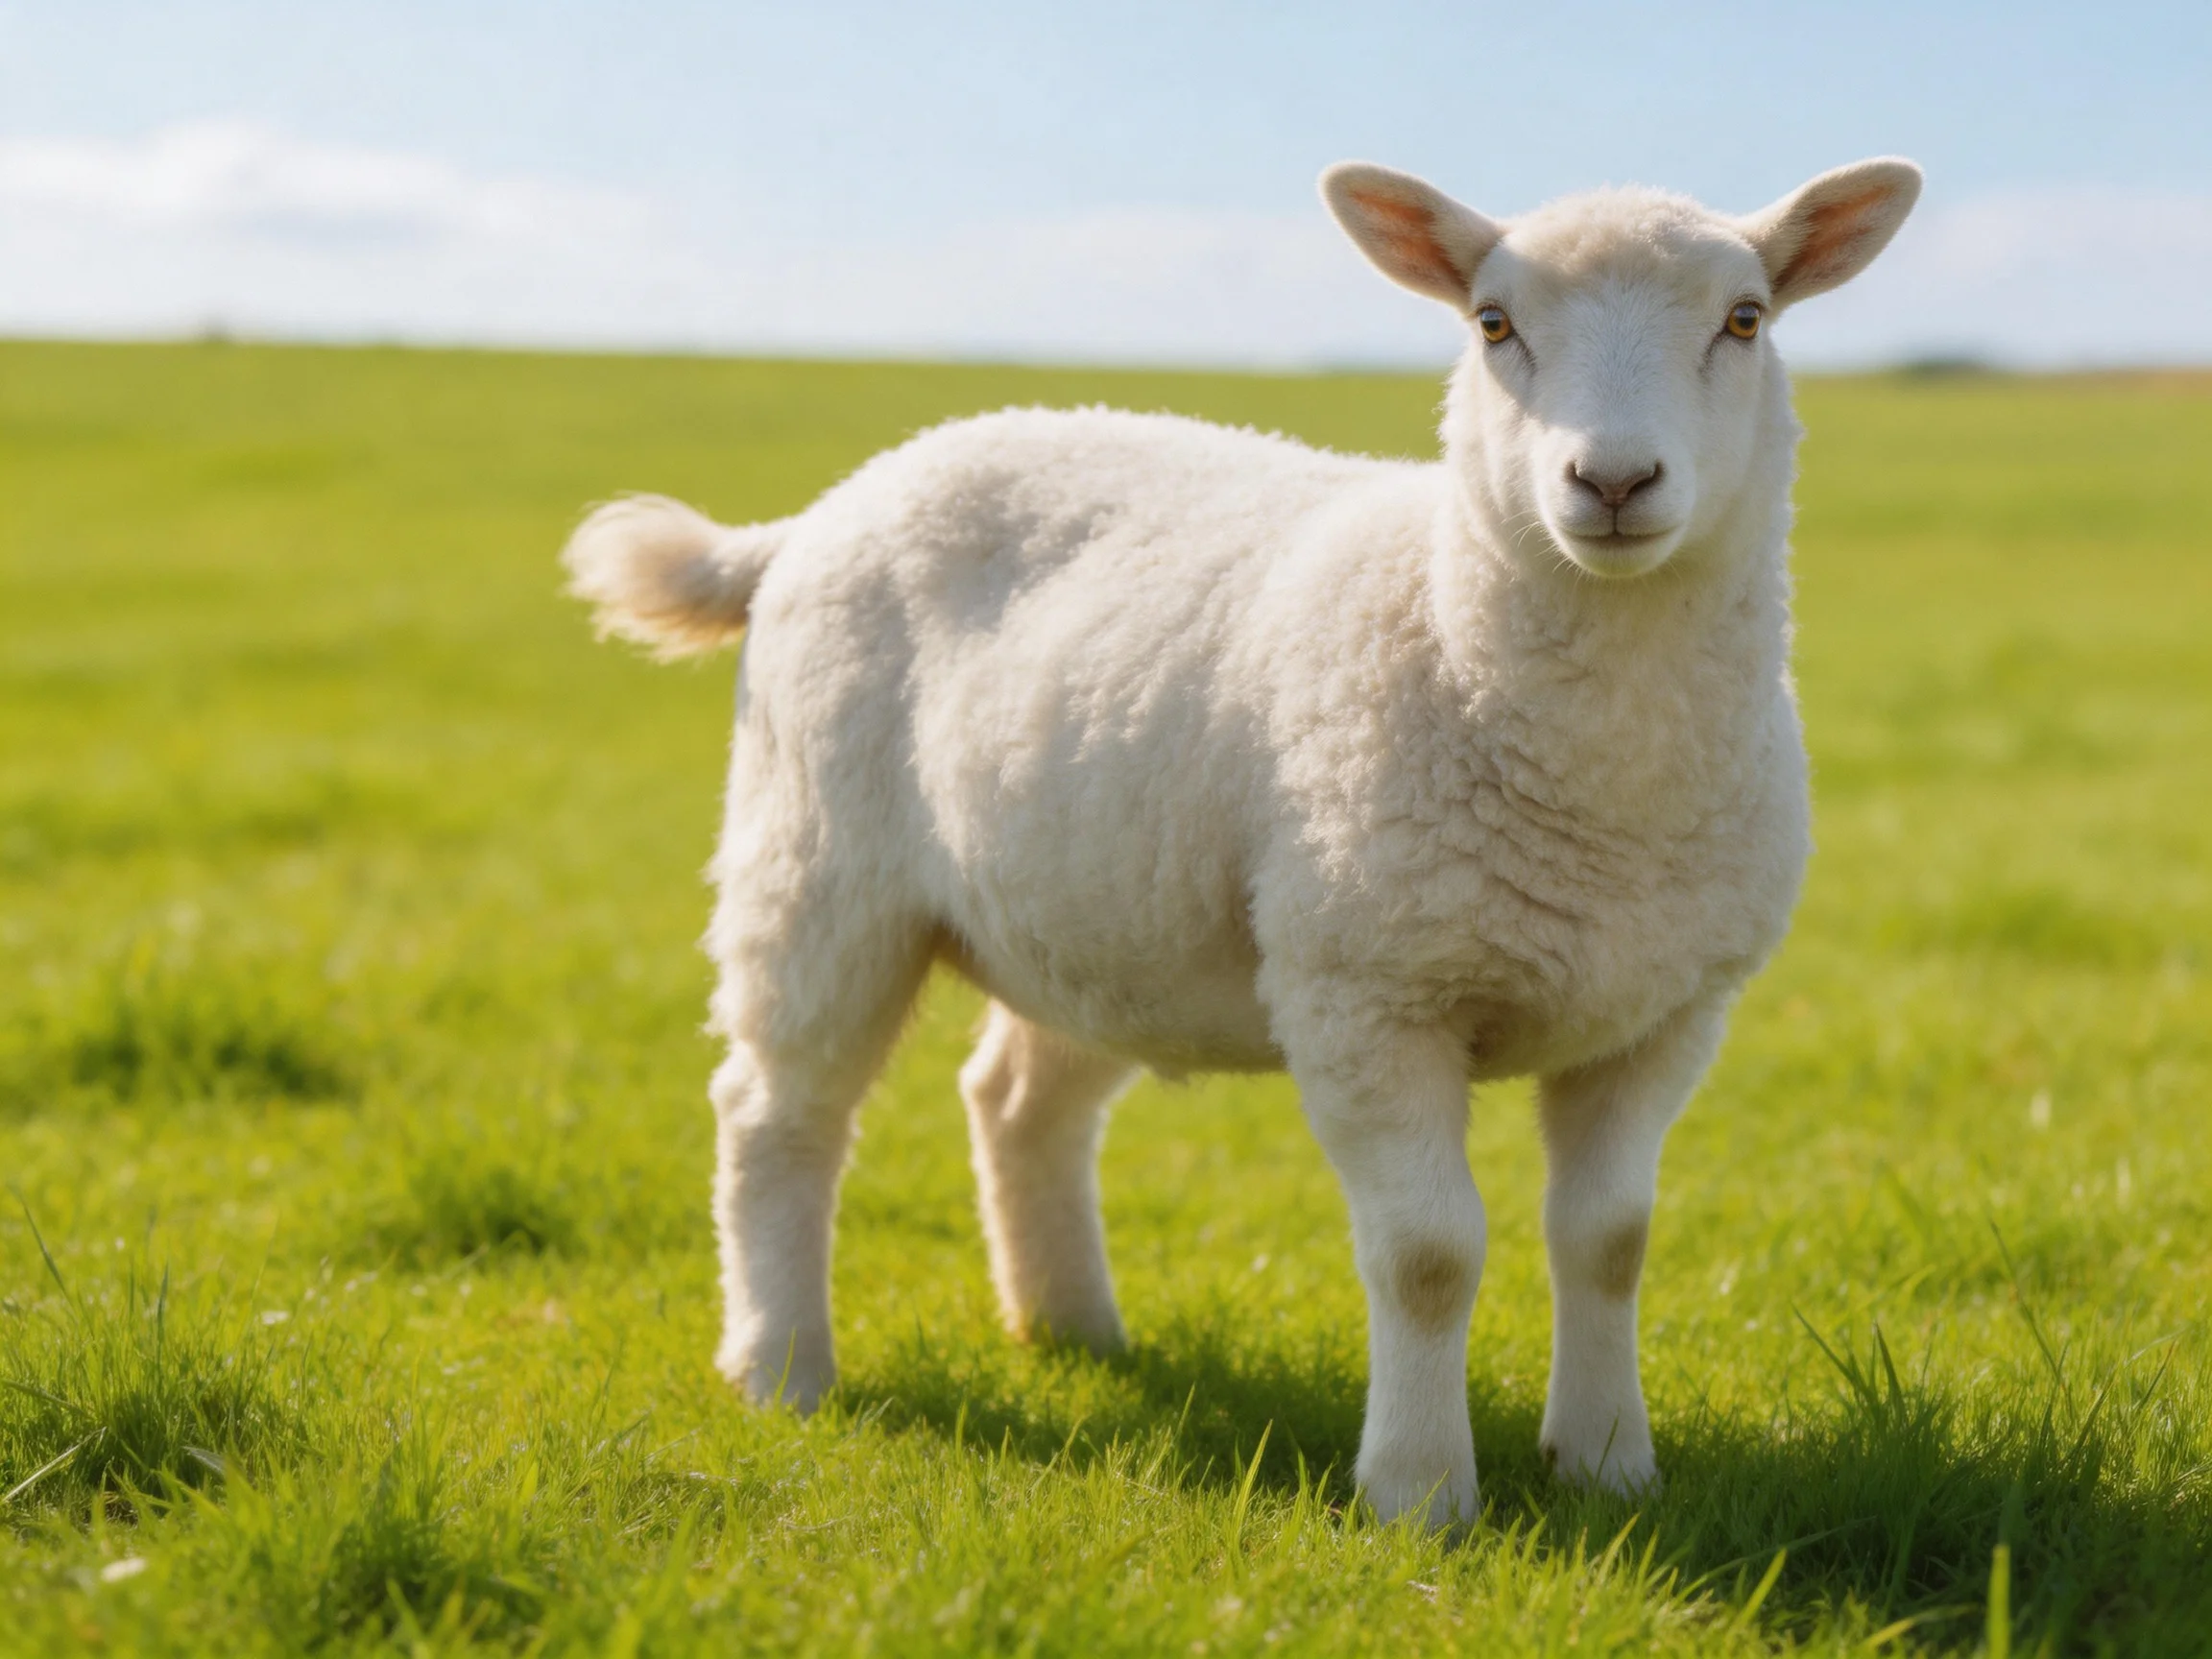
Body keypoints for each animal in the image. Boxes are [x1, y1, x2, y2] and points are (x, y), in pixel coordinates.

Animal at [562, 155, 1921, 1528]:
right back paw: (780, 1368)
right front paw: (1419, 1494)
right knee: (775, 1114)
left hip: (1101, 909)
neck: (1599, 787)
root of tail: (818, 515)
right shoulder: (1365, 993)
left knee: (1016, 1102)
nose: (1614, 483)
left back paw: (1072, 1331)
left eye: (1745, 319)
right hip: (818, 862)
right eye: (1493, 324)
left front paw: (1606, 1468)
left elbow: (1609, 1243)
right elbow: (1428, 1255)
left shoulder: (1665, 1013)